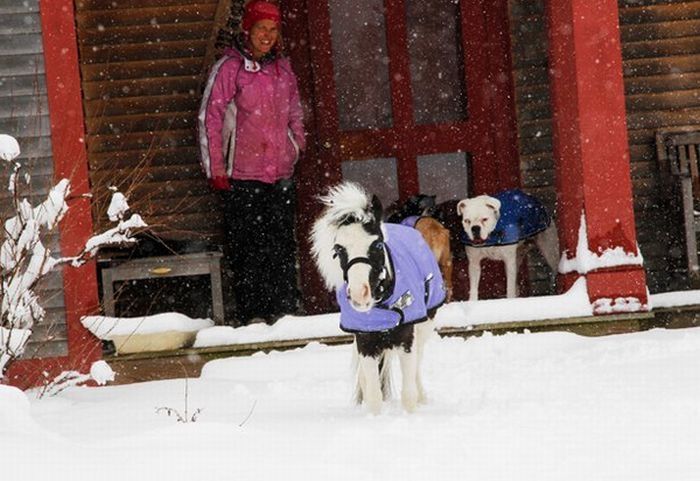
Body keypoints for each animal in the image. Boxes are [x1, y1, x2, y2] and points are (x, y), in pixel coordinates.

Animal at [310, 181, 446, 412]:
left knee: (417, 365)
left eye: (377, 244)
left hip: (424, 327)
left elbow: (408, 394)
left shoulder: (407, 339)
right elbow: (374, 395)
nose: (359, 294)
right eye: (338, 249)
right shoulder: (365, 342)